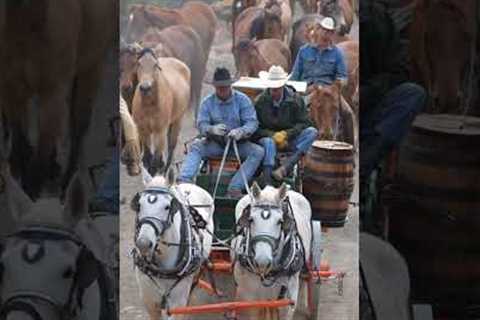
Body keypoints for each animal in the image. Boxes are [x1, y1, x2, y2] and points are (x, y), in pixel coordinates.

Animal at [0, 0, 116, 198]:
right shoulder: (11, 86)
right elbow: (20, 137)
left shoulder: (53, 90)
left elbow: (42, 149)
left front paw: (32, 188)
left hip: (91, 68)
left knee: (78, 127)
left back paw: (67, 181)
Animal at [132, 48, 192, 176]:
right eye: (138, 63)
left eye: (155, 65)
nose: (145, 87)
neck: (149, 105)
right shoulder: (143, 130)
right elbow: (148, 158)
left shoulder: (159, 131)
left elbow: (155, 161)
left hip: (177, 121)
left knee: (171, 147)